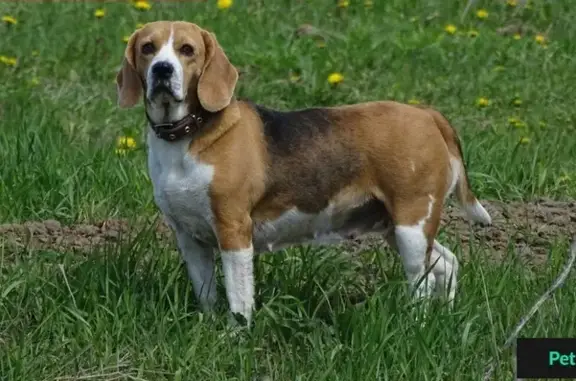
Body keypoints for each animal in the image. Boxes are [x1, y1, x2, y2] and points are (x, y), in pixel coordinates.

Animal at [116, 20, 490, 324]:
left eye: (187, 50)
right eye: (148, 48)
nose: (163, 70)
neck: (186, 135)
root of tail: (426, 114)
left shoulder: (233, 232)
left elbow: (239, 299)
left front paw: (237, 339)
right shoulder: (189, 237)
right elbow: (206, 293)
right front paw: (209, 329)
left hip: (411, 225)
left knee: (421, 282)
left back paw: (415, 325)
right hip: (398, 228)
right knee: (446, 264)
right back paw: (446, 315)